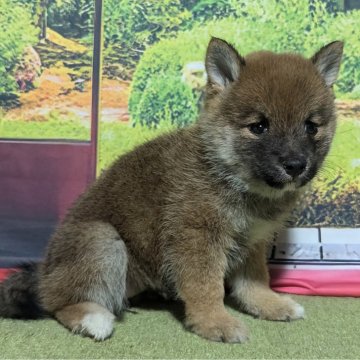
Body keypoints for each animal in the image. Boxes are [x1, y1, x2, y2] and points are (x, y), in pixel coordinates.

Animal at [0, 37, 344, 344]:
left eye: (311, 127)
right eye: (259, 126)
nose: (295, 164)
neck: (230, 177)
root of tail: (45, 271)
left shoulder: (252, 241)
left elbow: (255, 282)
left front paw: (269, 305)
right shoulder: (197, 238)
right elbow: (207, 287)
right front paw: (214, 322)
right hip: (102, 239)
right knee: (57, 302)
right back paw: (92, 318)